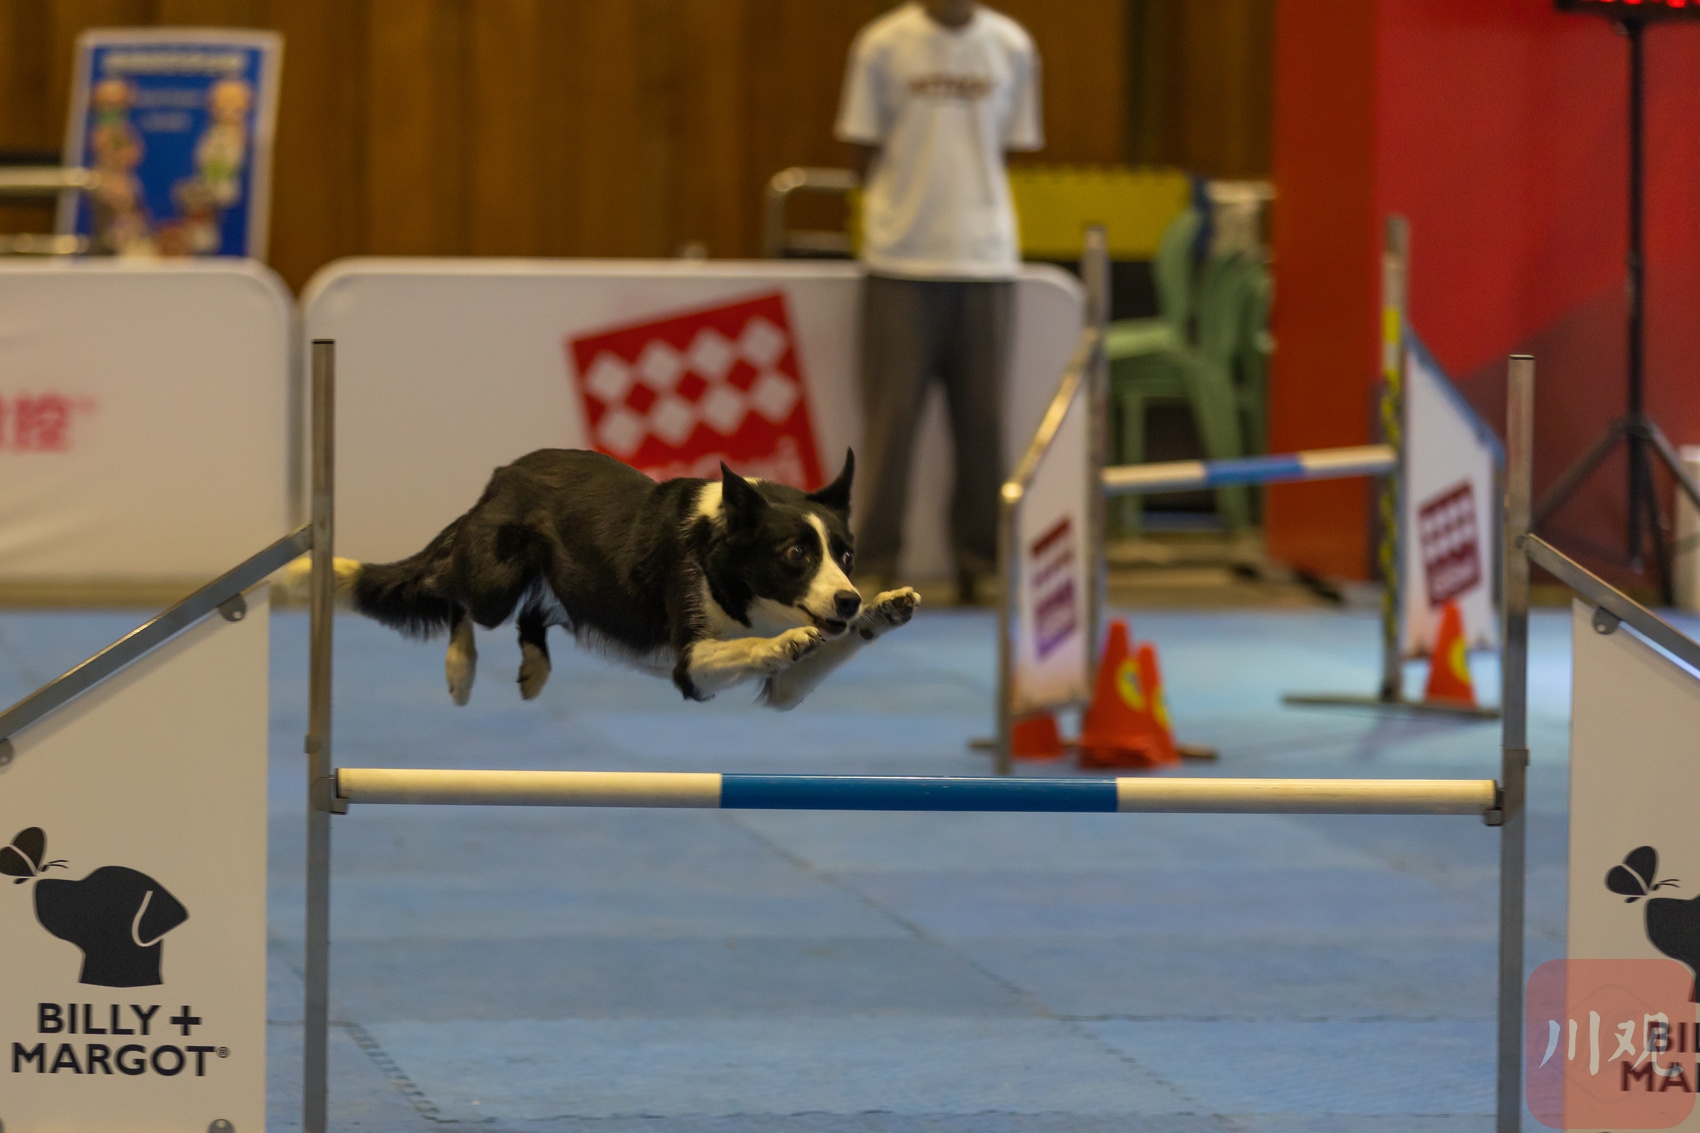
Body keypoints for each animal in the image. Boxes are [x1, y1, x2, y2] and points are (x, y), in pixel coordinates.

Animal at [314, 448, 918, 709]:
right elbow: (748, 647)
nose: (848, 598)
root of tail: (501, 475)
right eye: (795, 554)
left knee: (534, 610)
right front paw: (785, 641)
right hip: (495, 579)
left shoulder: (785, 689)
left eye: (846, 555)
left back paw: (534, 667)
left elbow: (830, 648)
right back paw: (461, 669)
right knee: (457, 594)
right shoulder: (692, 668)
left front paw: (887, 608)